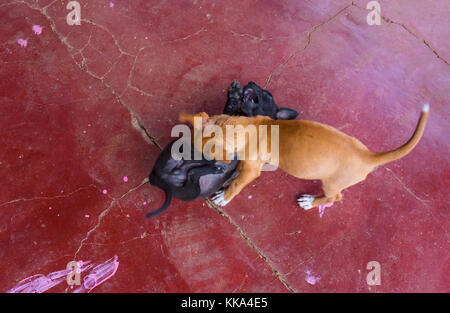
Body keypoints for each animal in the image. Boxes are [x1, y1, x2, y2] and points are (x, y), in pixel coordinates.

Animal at [146, 81, 298, 217]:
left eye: (267, 94)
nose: (251, 82)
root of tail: (156, 177)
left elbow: (237, 183)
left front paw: (225, 196)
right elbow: (228, 111)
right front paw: (233, 95)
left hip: (191, 190)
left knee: (193, 173)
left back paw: (214, 166)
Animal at [178, 105, 428, 210]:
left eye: (204, 156)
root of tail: (367, 156)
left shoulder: (251, 169)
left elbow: (239, 183)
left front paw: (225, 196)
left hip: (332, 183)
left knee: (335, 197)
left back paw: (310, 202)